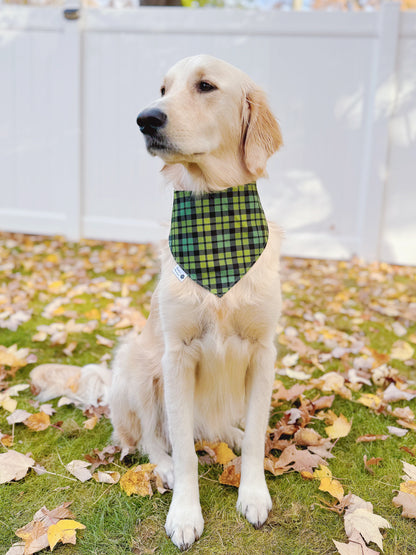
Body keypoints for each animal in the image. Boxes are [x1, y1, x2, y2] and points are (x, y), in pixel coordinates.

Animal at [109, 54, 282, 548]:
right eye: (162, 89)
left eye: (205, 86)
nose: (146, 119)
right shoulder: (177, 356)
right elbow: (185, 449)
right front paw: (185, 514)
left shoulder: (263, 351)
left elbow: (258, 432)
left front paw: (253, 492)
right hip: (136, 366)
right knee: (150, 439)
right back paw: (163, 468)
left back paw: (234, 435)